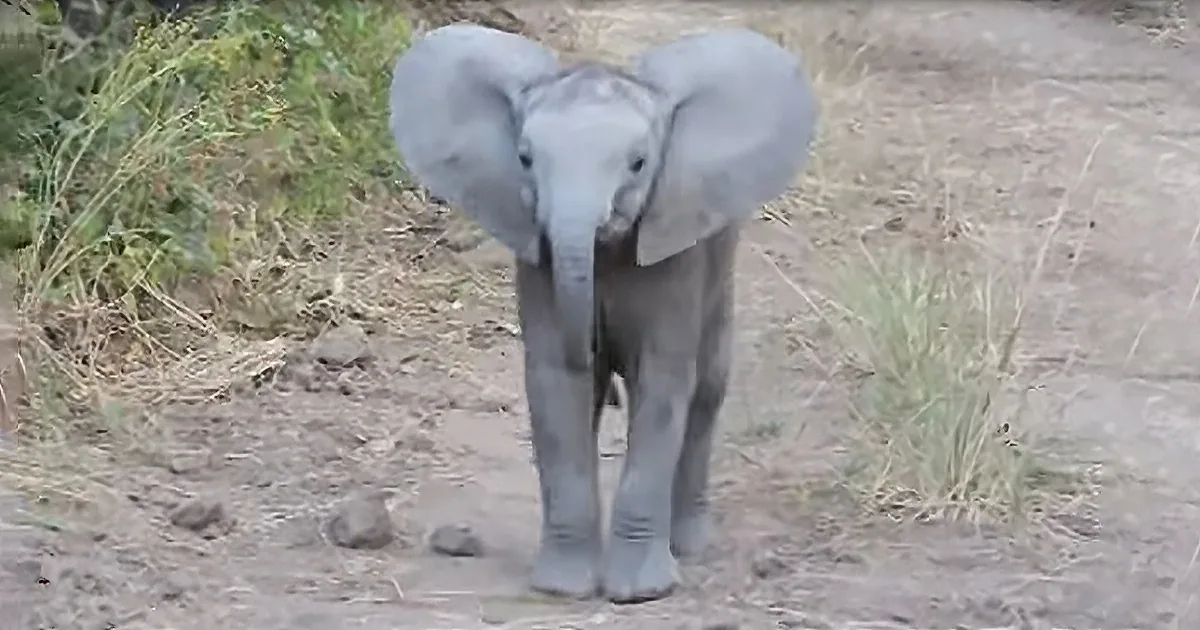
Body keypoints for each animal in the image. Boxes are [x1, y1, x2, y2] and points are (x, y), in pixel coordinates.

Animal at [388, 23, 817, 603]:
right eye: (524, 159)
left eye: (638, 164)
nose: (597, 345)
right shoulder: (539, 260)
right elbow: (555, 385)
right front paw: (564, 588)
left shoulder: (674, 257)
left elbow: (662, 388)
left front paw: (638, 593)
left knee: (708, 387)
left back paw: (689, 547)